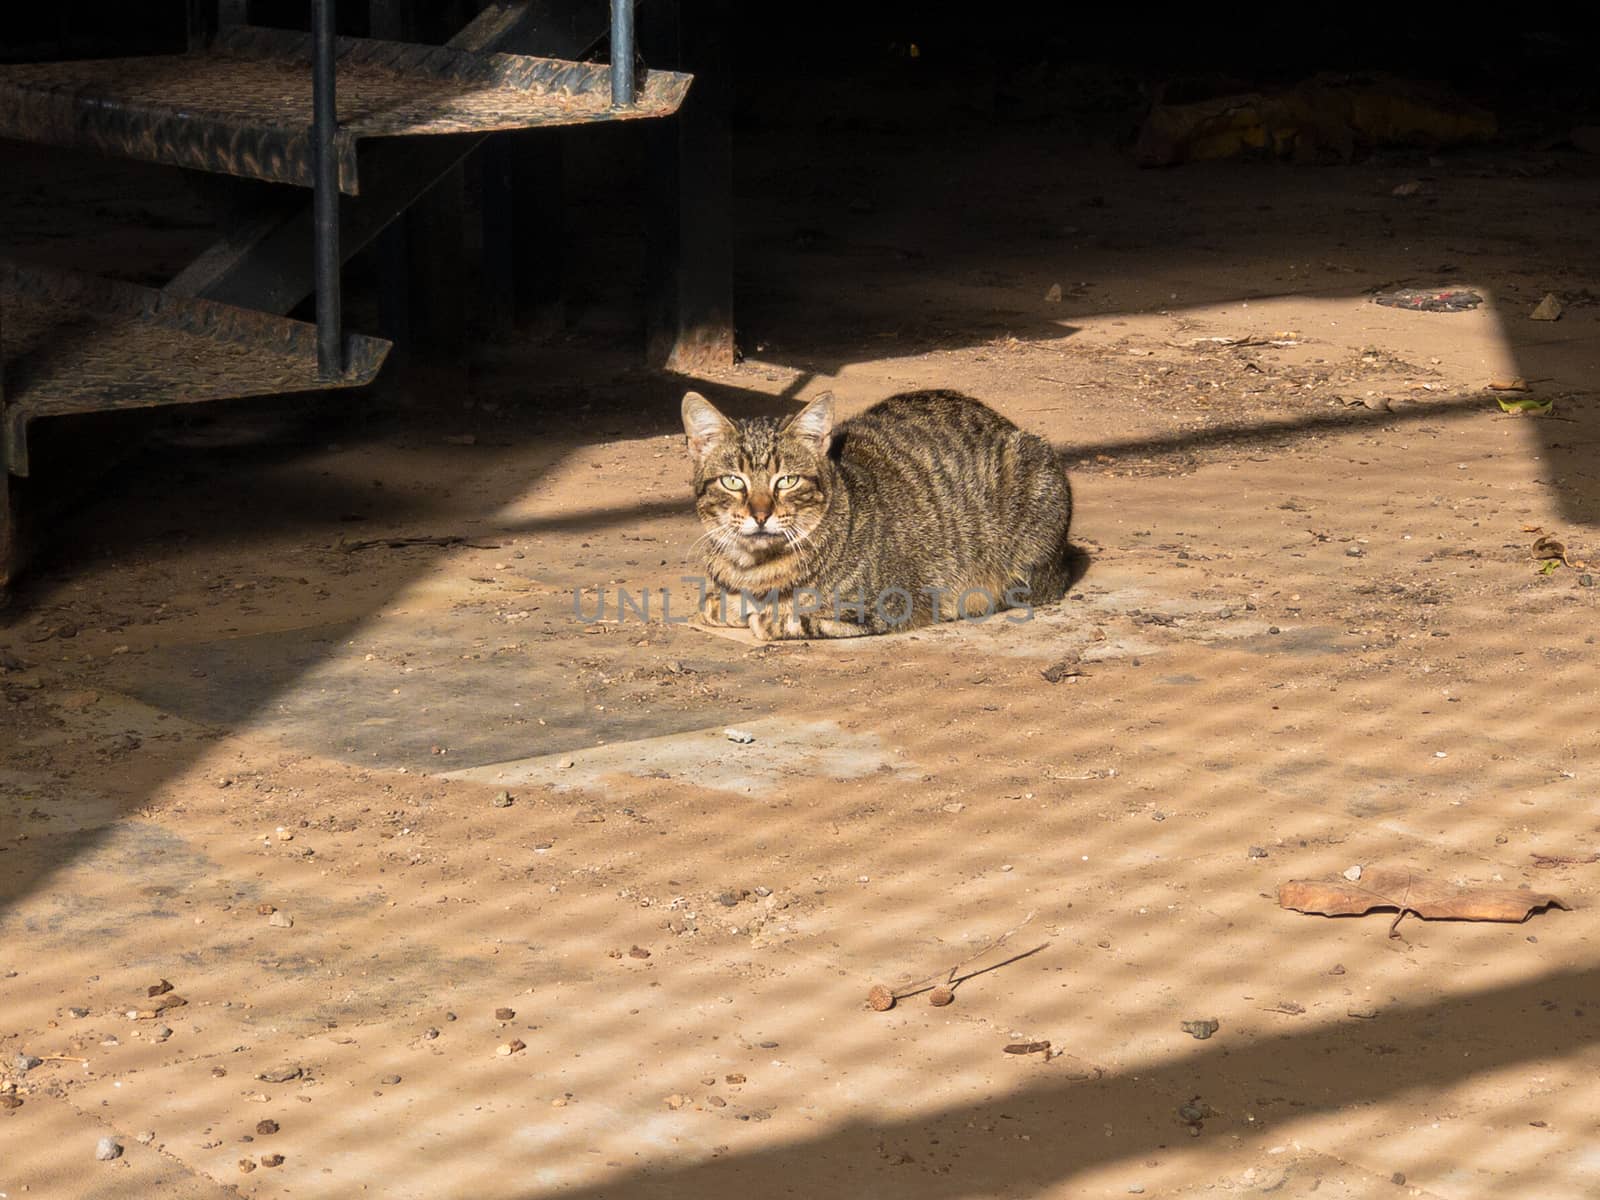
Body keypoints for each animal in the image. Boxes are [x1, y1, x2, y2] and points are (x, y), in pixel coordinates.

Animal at [678, 392, 1075, 640]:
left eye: (787, 480)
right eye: (732, 481)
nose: (760, 514)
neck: (754, 568)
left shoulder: (889, 606)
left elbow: (793, 620)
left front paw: (766, 617)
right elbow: (713, 604)